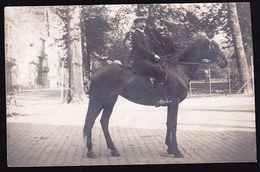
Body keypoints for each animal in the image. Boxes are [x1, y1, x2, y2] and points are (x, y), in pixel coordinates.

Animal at [83, 36, 228, 157]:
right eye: (214, 46)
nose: (225, 62)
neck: (178, 69)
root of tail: (96, 72)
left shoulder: (170, 104)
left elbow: (168, 123)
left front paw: (169, 148)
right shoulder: (175, 102)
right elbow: (173, 124)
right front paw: (176, 151)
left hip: (102, 101)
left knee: (93, 120)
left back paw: (93, 150)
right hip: (108, 100)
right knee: (101, 121)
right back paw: (109, 149)